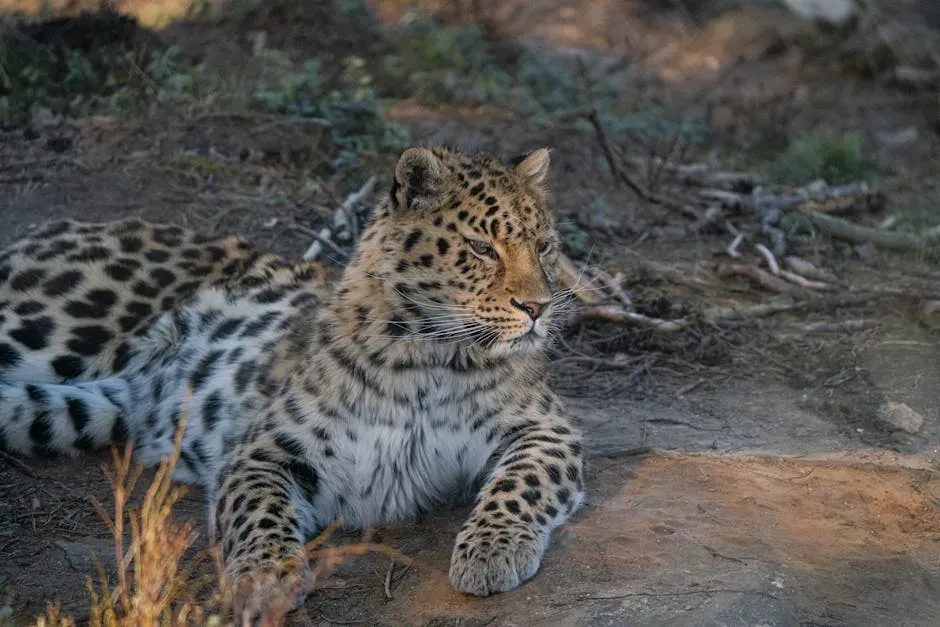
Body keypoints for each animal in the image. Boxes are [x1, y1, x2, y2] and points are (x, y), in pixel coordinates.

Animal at [0, 146, 585, 621]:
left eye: (545, 247)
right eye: (482, 249)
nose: (538, 308)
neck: (431, 355)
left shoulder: (545, 429)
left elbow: (521, 484)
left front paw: (492, 550)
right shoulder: (263, 451)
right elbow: (259, 510)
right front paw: (265, 578)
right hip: (50, 328)